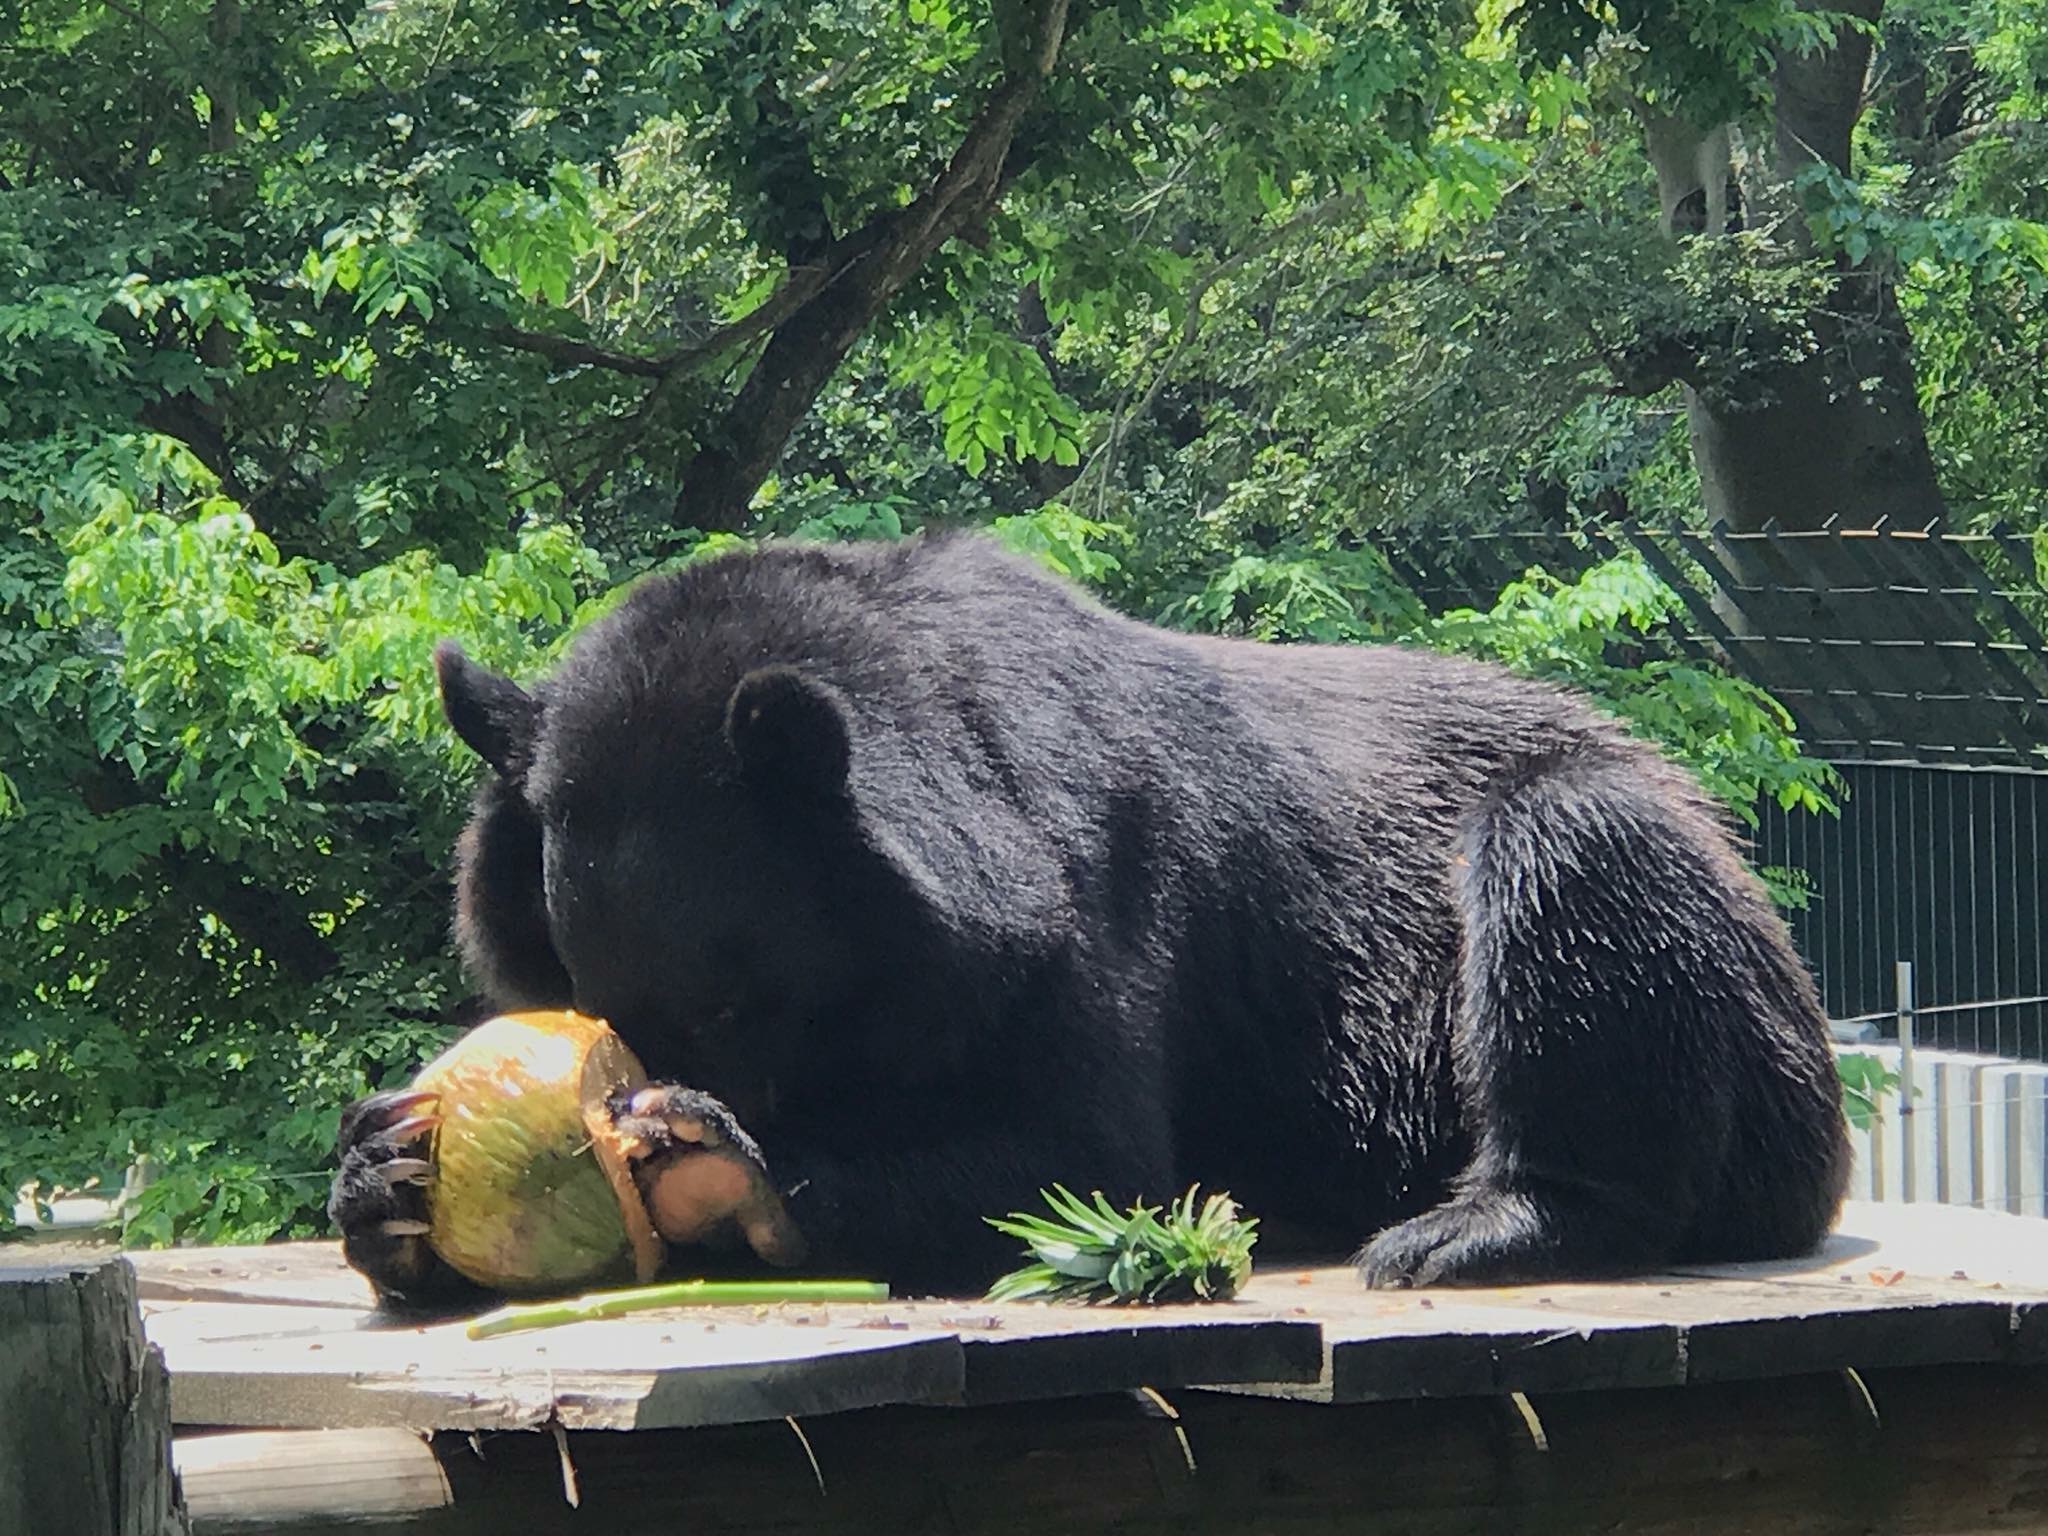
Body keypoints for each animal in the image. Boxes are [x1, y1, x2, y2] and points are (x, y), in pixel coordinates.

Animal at [329, 531, 1850, 1308]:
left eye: (730, 997)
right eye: (603, 1002)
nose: (637, 1122)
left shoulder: (1084, 890)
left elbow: (1081, 1148)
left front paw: (734, 1170)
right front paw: (391, 1177)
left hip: (1685, 957)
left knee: (1573, 882)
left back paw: (1473, 1229)